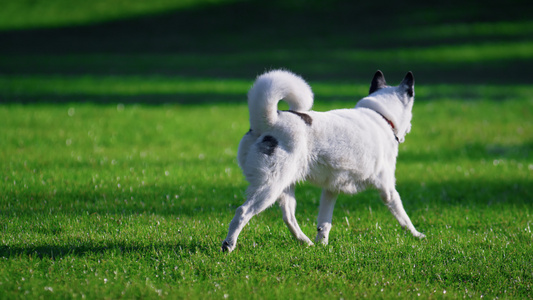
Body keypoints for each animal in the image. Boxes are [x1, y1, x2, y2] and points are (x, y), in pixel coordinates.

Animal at [220, 69, 424, 252]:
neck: (381, 116)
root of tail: (268, 120)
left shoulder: (331, 190)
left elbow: (324, 222)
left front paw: (322, 245)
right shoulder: (387, 189)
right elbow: (403, 216)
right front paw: (417, 235)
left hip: (285, 187)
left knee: (289, 217)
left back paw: (306, 242)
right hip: (269, 188)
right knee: (242, 212)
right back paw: (228, 245)